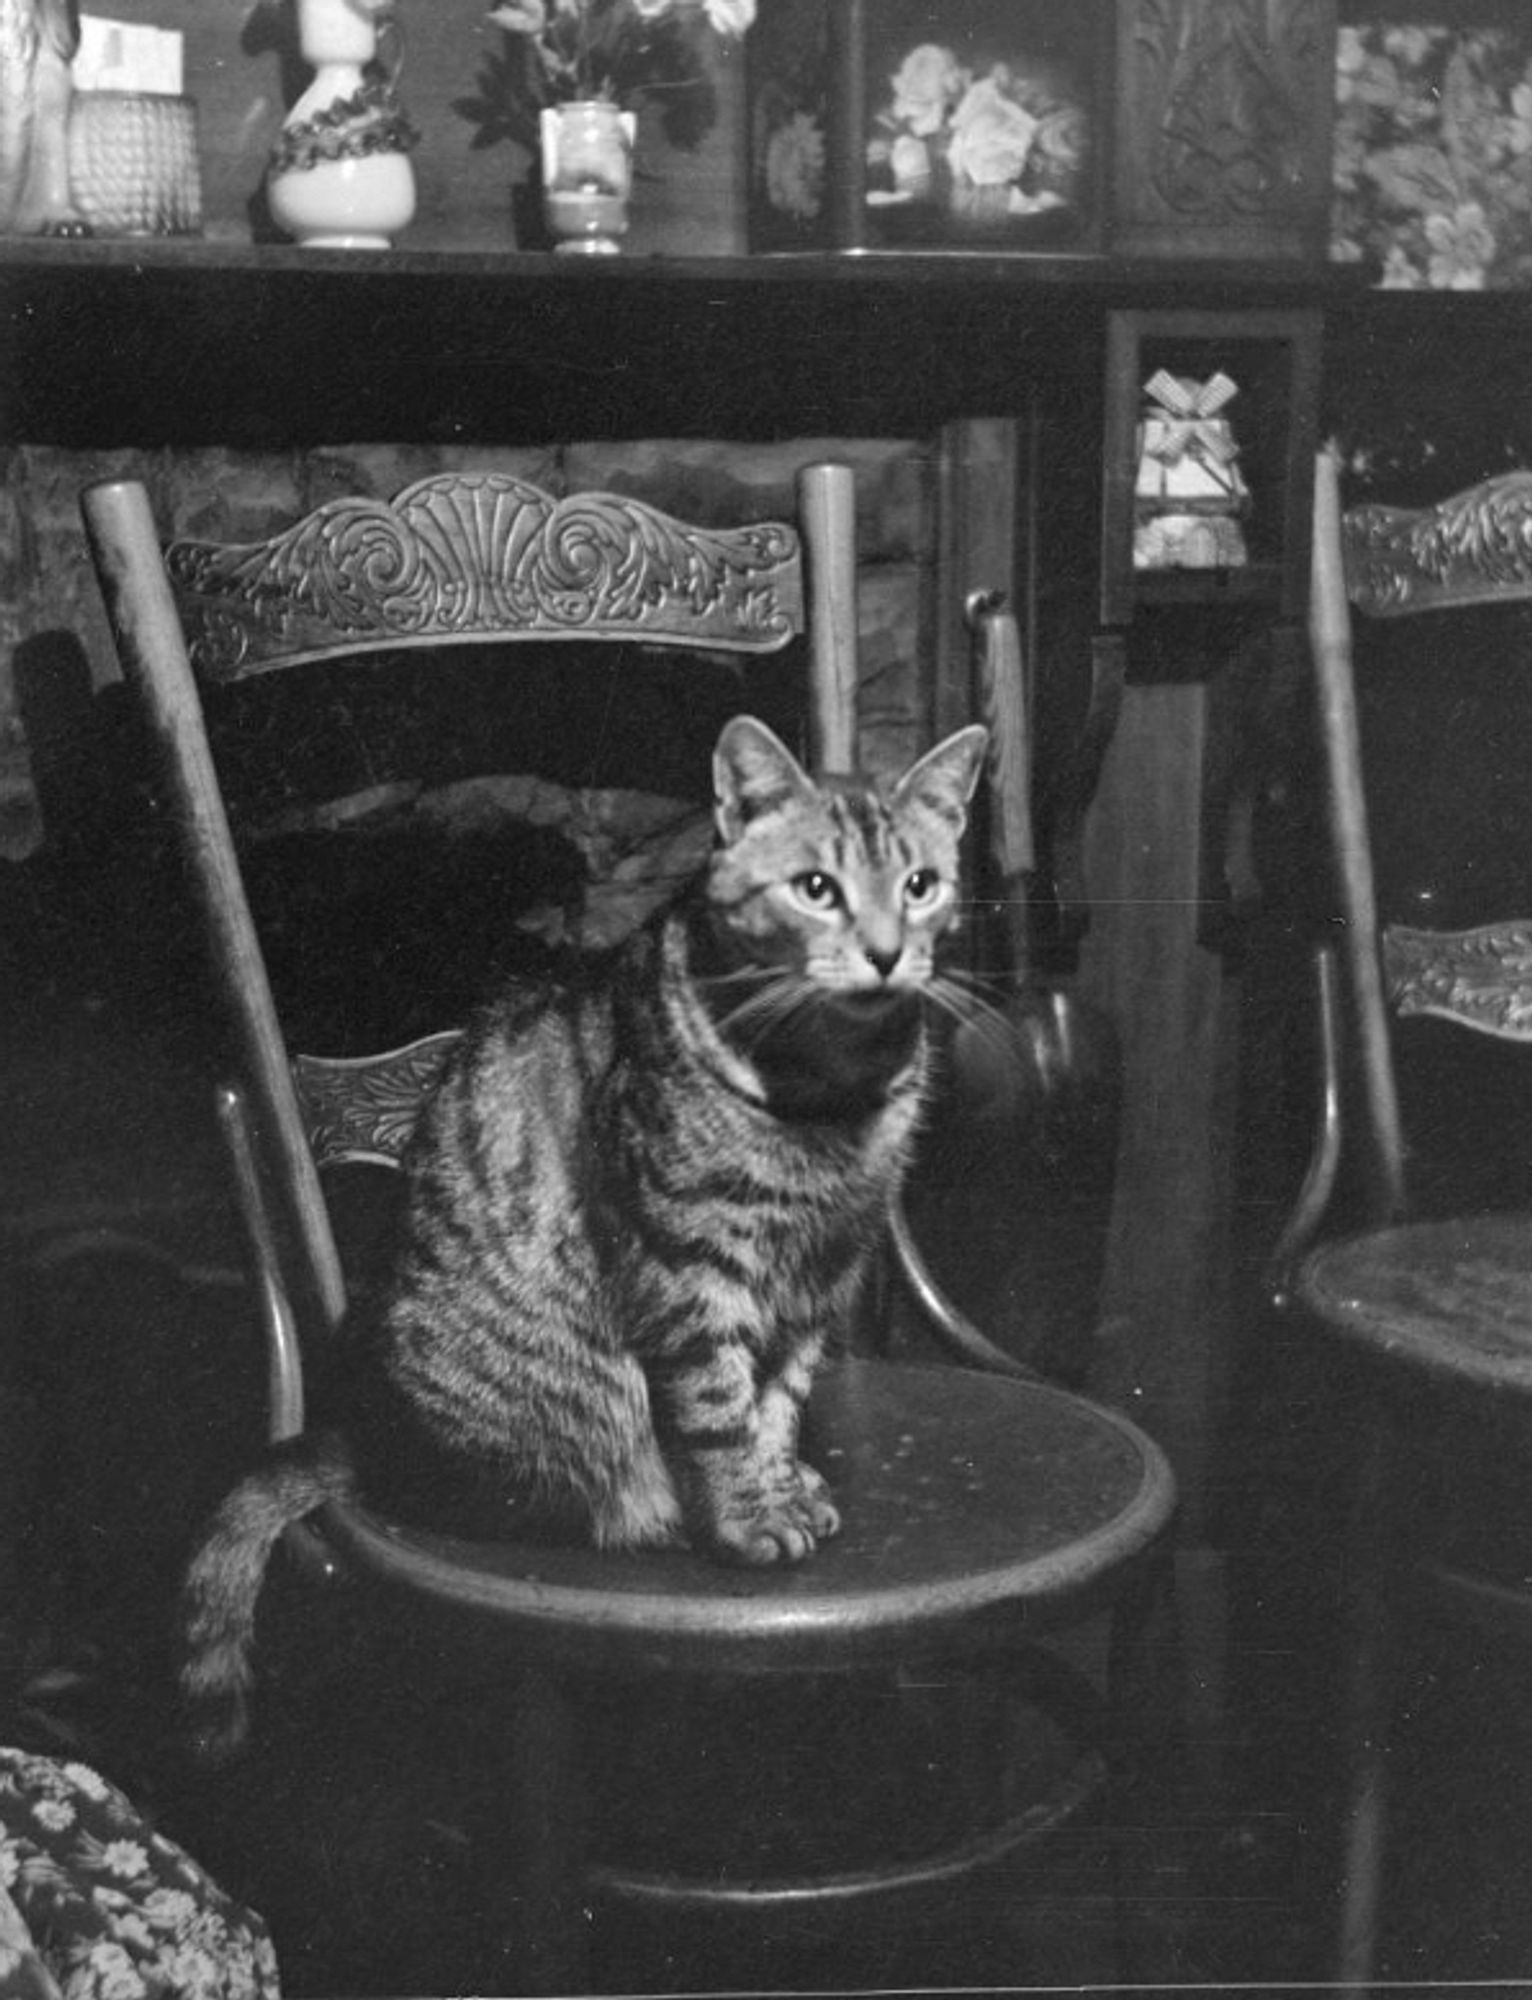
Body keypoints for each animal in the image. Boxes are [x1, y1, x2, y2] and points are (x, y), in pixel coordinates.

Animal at [186, 712, 992, 1760]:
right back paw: (657, 1511)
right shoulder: (691, 1265)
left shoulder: (819, 1273)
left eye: (921, 885)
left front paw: (782, 1483)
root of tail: (362, 1446)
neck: (835, 1082)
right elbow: (721, 1410)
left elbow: (778, 1401)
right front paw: (745, 1518)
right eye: (817, 888)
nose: (891, 953)